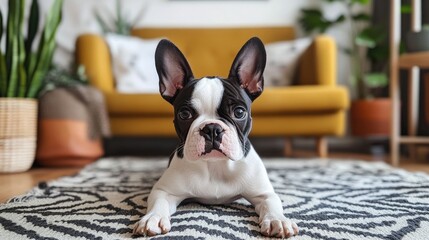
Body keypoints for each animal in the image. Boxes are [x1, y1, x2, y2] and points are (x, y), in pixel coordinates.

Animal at [133, 37, 298, 238]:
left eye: (239, 112)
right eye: (184, 114)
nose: (212, 128)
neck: (215, 165)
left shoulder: (263, 193)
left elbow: (272, 204)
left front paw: (277, 220)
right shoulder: (163, 191)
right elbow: (159, 203)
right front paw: (153, 218)